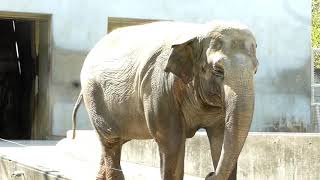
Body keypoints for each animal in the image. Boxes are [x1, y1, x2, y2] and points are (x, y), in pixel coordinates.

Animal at [72, 21, 258, 180]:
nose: (209, 174)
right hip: (95, 97)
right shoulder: (159, 88)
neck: (196, 31)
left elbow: (221, 139)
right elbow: (172, 141)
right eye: (218, 70)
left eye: (255, 70)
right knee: (111, 142)